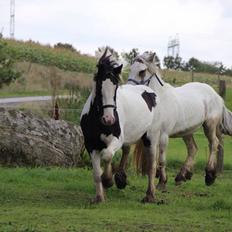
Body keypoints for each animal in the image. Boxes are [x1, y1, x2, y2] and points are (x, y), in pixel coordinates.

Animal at [81, 49, 161, 202]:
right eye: (99, 86)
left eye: (116, 87)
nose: (109, 119)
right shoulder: (91, 145)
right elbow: (96, 173)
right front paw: (99, 197)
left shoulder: (116, 140)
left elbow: (107, 156)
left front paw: (107, 180)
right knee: (127, 151)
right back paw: (121, 179)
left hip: (151, 138)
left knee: (151, 166)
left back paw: (150, 195)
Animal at [127, 51, 232, 189]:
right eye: (130, 69)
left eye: (142, 71)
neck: (159, 101)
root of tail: (216, 95)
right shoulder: (150, 135)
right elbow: (154, 158)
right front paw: (158, 177)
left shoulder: (163, 135)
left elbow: (161, 158)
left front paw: (162, 182)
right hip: (187, 132)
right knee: (193, 149)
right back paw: (182, 176)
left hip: (209, 126)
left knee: (214, 144)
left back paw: (209, 176)